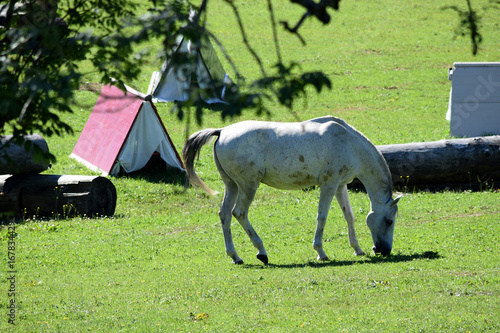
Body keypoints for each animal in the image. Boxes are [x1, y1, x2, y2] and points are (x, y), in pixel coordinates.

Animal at [182, 115, 400, 264]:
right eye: (389, 221)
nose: (383, 250)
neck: (348, 142)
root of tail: (222, 131)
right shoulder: (328, 185)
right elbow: (322, 217)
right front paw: (320, 252)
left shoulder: (340, 185)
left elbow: (349, 216)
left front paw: (357, 249)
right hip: (248, 185)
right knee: (240, 213)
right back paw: (262, 252)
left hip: (232, 185)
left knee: (225, 214)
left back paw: (235, 256)